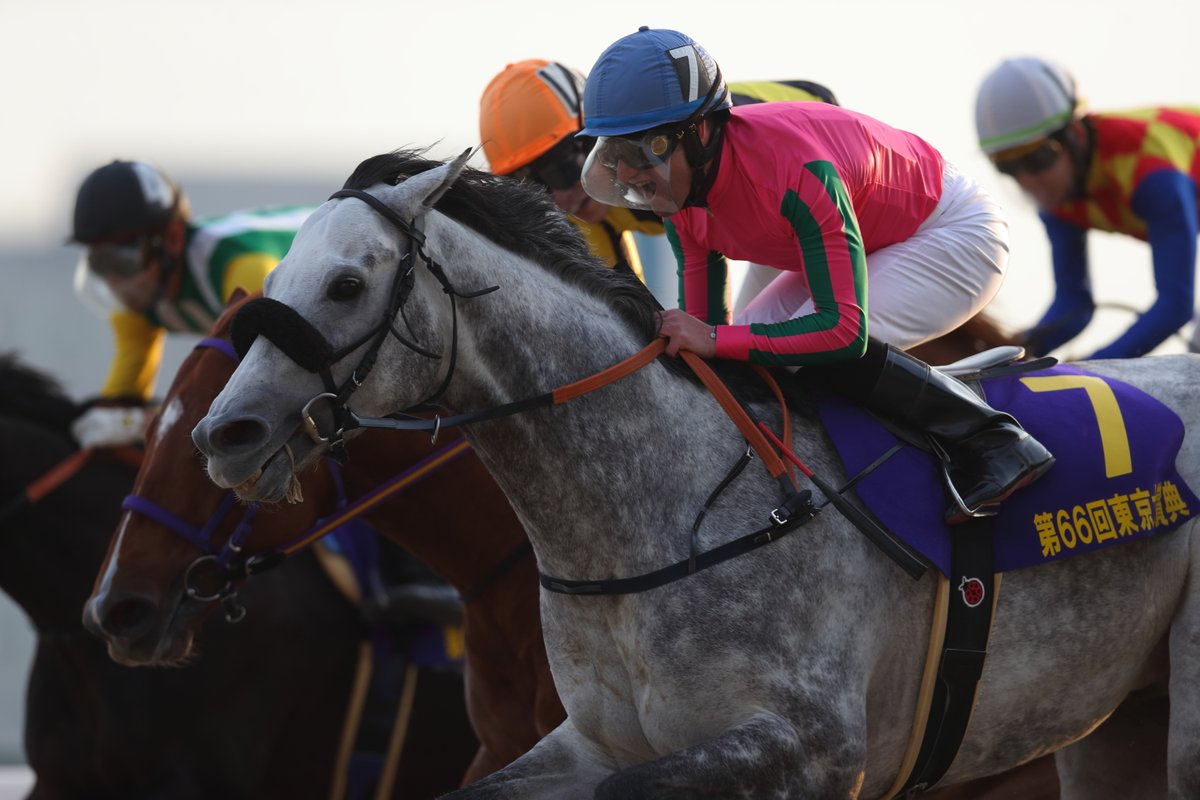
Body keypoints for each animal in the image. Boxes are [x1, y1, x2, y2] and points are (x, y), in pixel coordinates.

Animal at [190, 149, 1196, 798]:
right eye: (275, 278)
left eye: (348, 284)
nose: (225, 434)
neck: (652, 524)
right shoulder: (591, 738)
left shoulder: (818, 747)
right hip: (1112, 723)